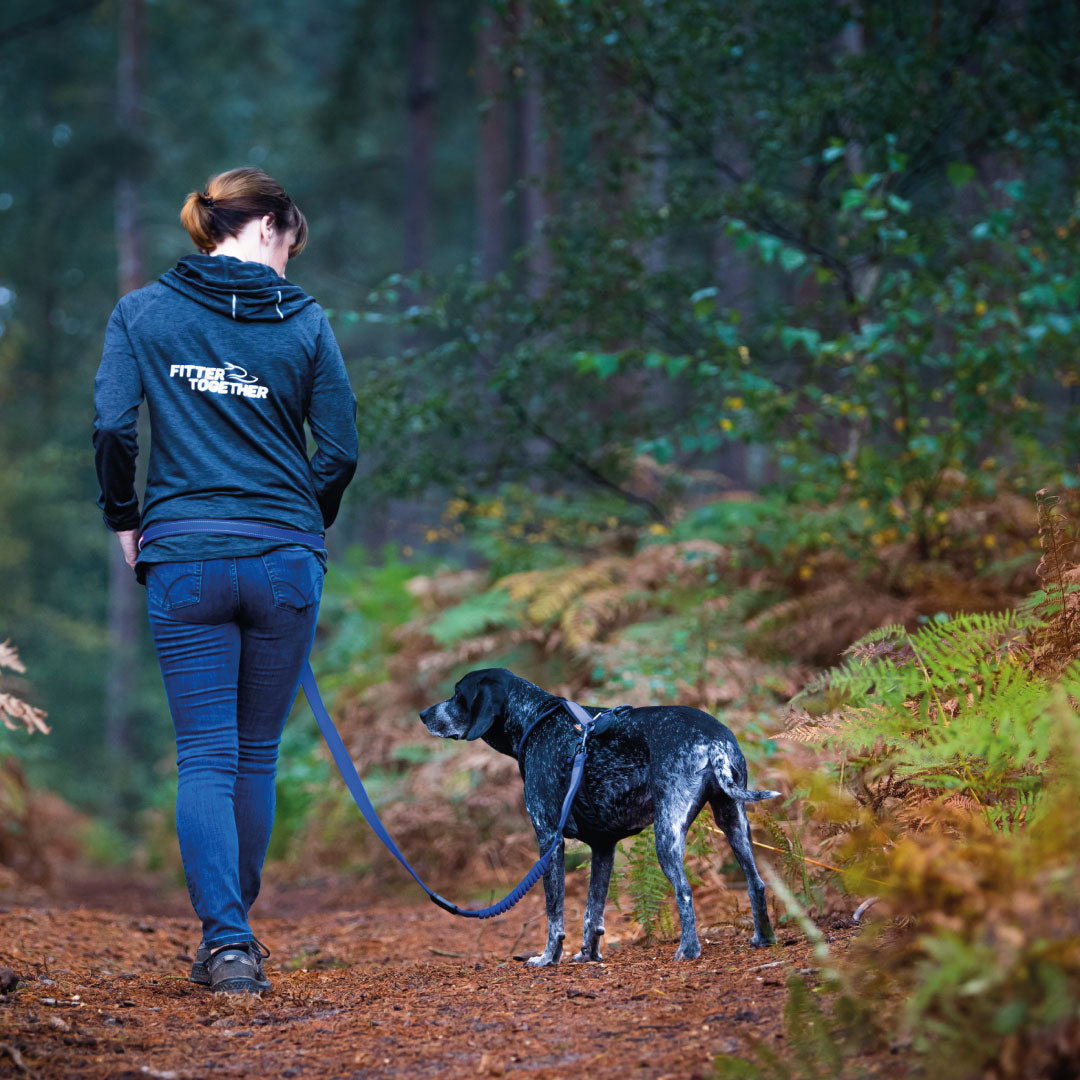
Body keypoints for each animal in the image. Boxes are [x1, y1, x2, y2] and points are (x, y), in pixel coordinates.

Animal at [416, 669, 781, 967]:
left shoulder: (549, 839)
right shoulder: (603, 848)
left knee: (685, 892)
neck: (536, 719)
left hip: (667, 835)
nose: (422, 714)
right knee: (757, 884)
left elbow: (555, 913)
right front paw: (588, 956)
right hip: (734, 822)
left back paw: (687, 951)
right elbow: (594, 911)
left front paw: (548, 958)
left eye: (458, 695)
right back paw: (764, 938)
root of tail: (713, 741)